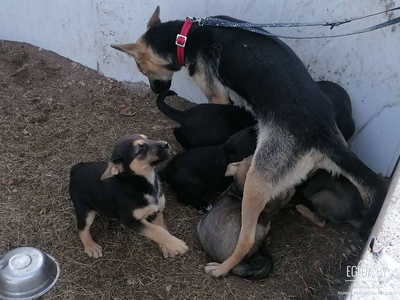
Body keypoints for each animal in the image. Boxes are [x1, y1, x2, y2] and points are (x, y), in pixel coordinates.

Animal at [111, 7, 388, 278]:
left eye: (141, 69)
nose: (155, 92)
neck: (186, 35)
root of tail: (322, 134)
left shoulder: (216, 95)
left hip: (256, 181)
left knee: (245, 241)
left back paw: (220, 269)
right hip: (339, 161)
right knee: (362, 186)